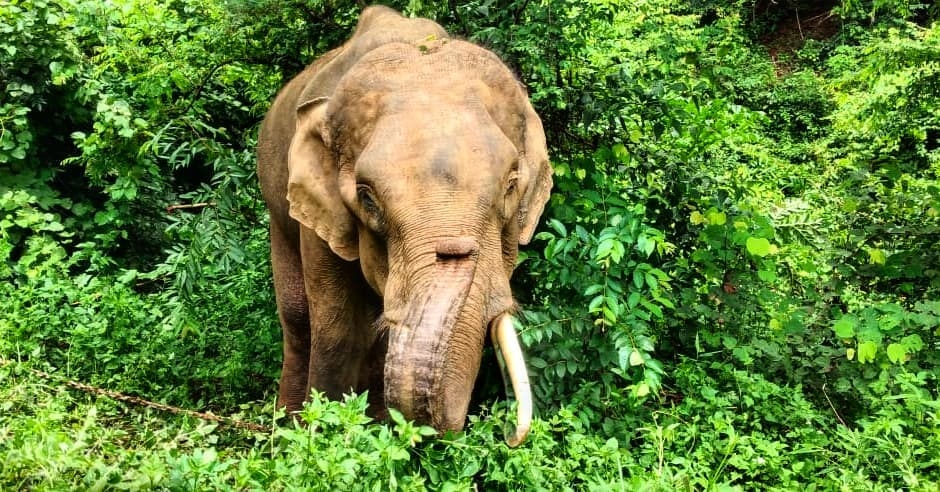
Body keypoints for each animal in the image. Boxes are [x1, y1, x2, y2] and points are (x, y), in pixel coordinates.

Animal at [256, 5, 552, 446]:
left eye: (511, 185)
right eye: (367, 198)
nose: (453, 249)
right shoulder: (319, 222)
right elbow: (339, 330)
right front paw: (321, 437)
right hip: (279, 210)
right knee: (298, 321)